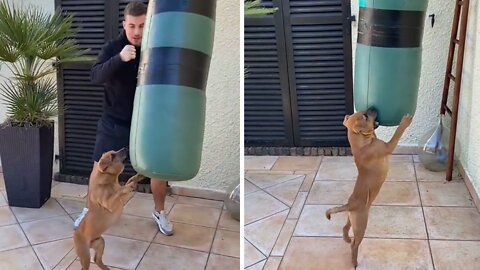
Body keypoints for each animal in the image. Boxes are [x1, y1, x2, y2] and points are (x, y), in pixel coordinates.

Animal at [326, 108, 412, 268]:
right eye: (365, 116)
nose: (373, 107)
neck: (362, 145)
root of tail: (350, 205)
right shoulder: (388, 146)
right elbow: (398, 132)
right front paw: (405, 121)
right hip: (361, 226)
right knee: (355, 245)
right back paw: (354, 261)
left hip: (352, 219)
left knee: (345, 228)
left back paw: (346, 238)